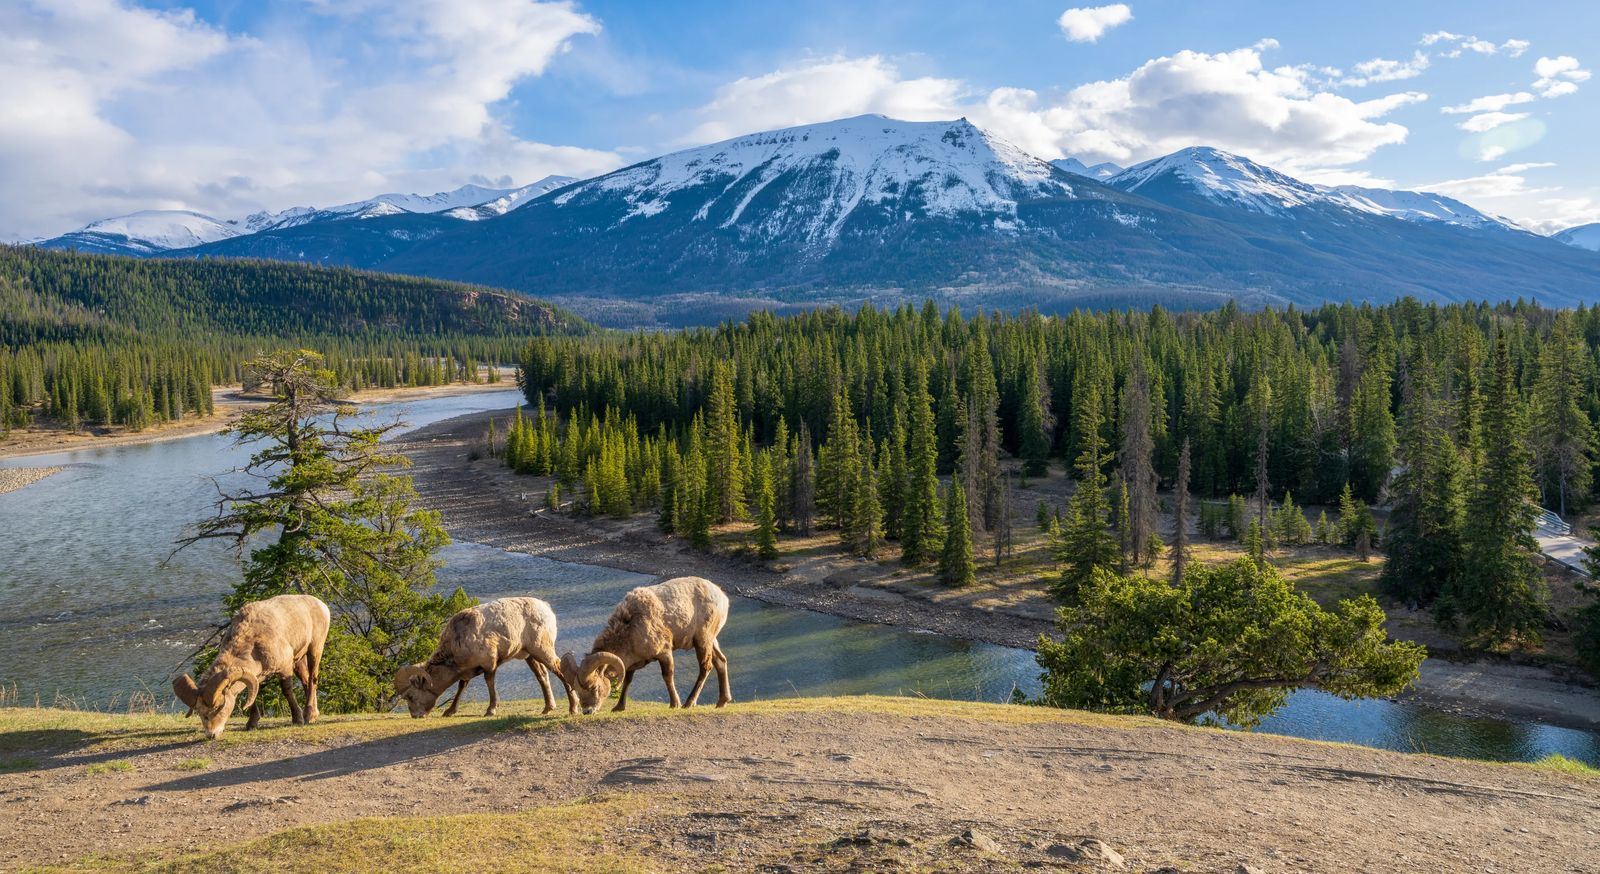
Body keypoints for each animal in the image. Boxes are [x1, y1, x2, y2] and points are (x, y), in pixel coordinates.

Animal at [172, 592, 328, 736]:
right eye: (199, 711)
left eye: (219, 706)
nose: (212, 734)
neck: (253, 645)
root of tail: (321, 604)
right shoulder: (256, 677)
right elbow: (252, 695)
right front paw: (251, 724)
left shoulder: (285, 667)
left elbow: (287, 691)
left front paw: (297, 720)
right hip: (299, 660)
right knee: (306, 681)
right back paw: (315, 714)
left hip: (314, 649)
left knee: (313, 679)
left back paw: (309, 716)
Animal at [393, 598, 576, 713]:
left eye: (410, 696)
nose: (415, 715)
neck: (457, 640)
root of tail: (546, 608)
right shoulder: (468, 671)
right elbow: (462, 686)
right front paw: (450, 711)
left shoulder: (489, 662)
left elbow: (489, 682)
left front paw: (491, 710)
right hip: (530, 655)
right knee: (542, 676)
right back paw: (548, 708)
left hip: (542, 650)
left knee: (558, 669)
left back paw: (573, 708)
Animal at [563, 576, 732, 710]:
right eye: (578, 689)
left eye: (595, 687)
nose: (587, 711)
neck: (631, 626)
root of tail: (723, 597)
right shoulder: (631, 663)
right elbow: (628, 680)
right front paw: (618, 707)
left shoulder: (665, 653)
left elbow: (667, 676)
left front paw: (674, 704)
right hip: (711, 641)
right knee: (721, 661)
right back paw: (722, 702)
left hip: (702, 641)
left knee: (706, 667)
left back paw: (689, 703)